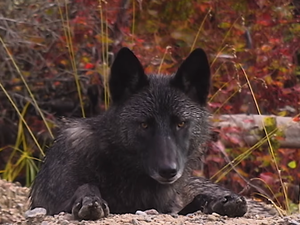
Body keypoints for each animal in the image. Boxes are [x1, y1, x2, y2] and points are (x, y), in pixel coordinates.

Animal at [29, 47, 247, 220]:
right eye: (144, 125)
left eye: (181, 123)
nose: (168, 170)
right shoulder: (51, 205)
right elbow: (85, 187)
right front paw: (89, 199)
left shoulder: (169, 209)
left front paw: (217, 202)